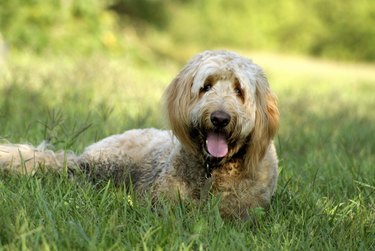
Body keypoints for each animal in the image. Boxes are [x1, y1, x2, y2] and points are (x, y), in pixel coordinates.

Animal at [0, 50, 280, 218]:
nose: (220, 118)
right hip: (106, 167)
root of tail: (82, 157)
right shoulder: (166, 204)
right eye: (206, 87)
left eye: (239, 91)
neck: (214, 169)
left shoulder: (245, 213)